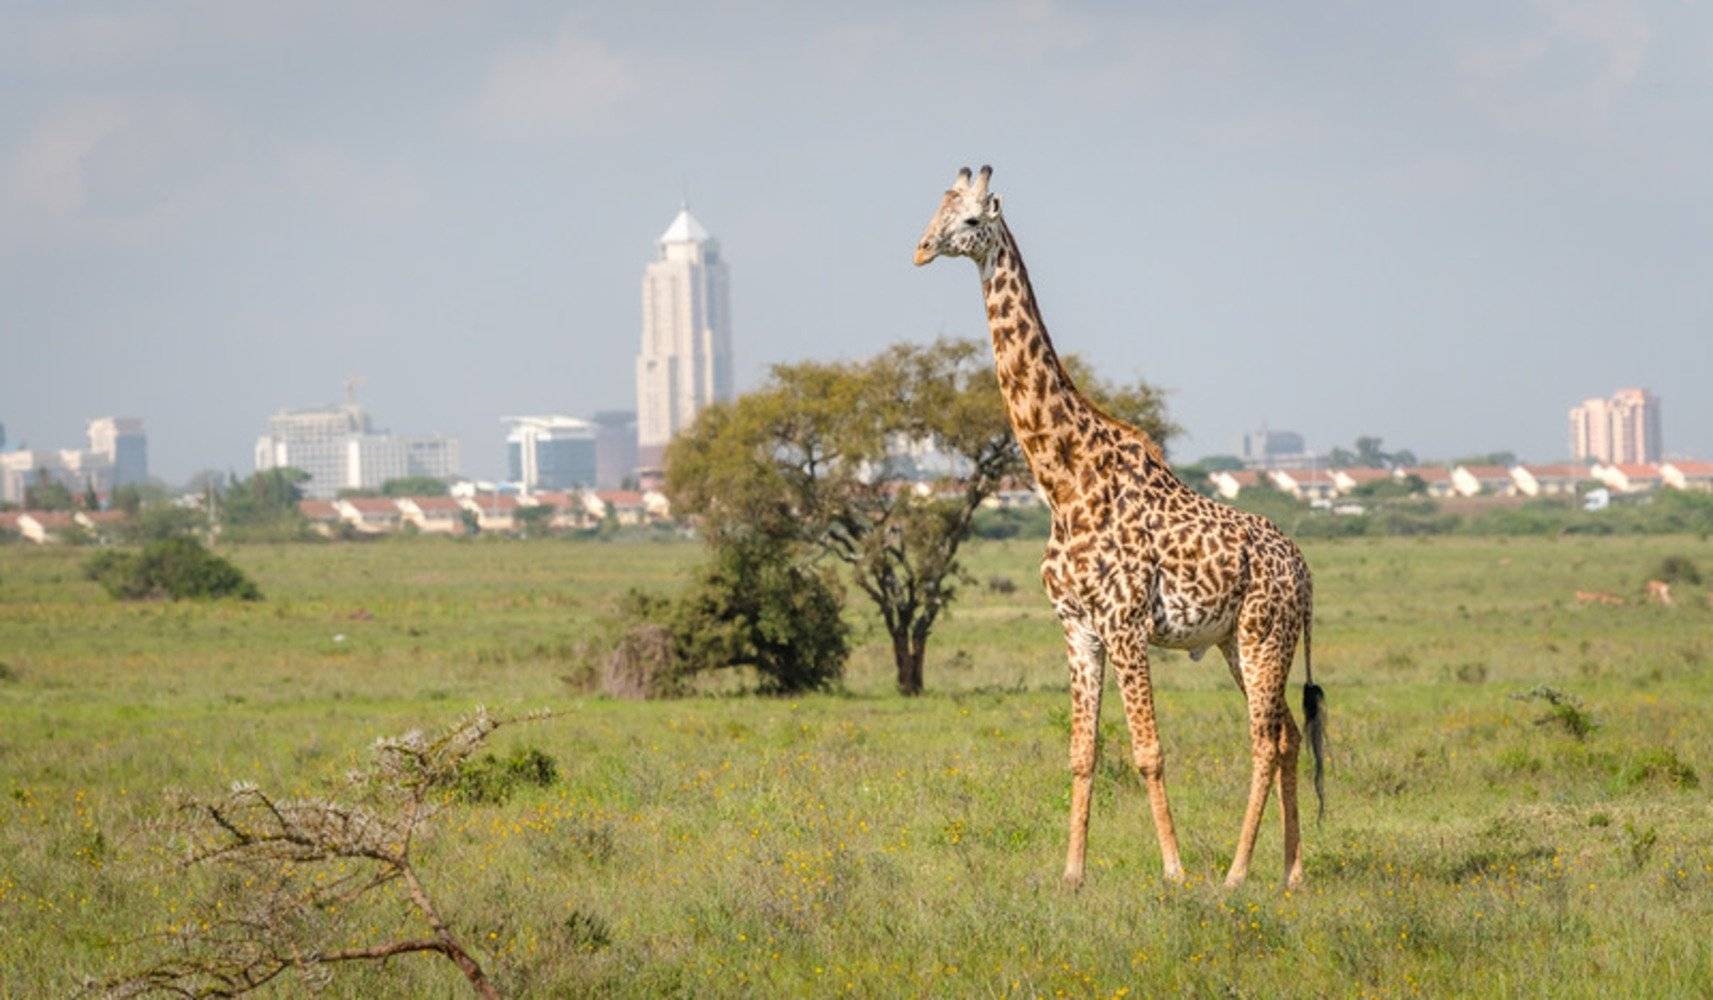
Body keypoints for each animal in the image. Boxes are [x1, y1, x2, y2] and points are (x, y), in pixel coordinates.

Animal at [911, 166, 1322, 890]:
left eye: (970, 221)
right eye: (936, 211)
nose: (922, 249)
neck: (1063, 480)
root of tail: (1303, 571)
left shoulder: (1125, 622)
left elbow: (1148, 750)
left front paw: (1174, 871)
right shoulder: (1077, 626)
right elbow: (1082, 751)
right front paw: (1072, 875)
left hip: (1262, 634)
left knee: (1263, 741)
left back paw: (1236, 873)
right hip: (1233, 641)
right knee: (1287, 735)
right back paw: (1291, 873)